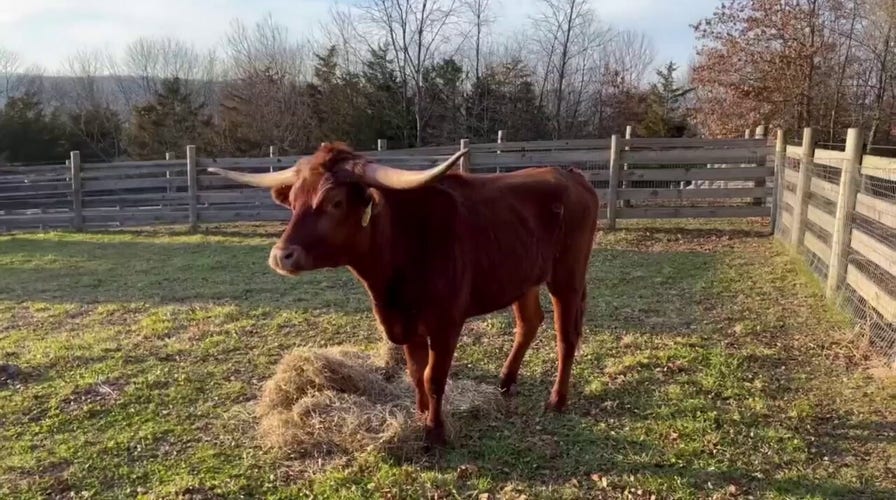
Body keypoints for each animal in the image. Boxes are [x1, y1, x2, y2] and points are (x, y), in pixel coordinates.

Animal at [208, 142, 600, 447]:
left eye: (334, 202)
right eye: (292, 201)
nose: (281, 255)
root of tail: (570, 174)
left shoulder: (445, 323)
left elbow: (434, 377)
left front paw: (435, 432)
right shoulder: (408, 323)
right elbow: (415, 372)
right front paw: (421, 414)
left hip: (567, 277)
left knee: (566, 336)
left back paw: (556, 400)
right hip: (523, 278)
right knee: (529, 323)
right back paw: (505, 382)